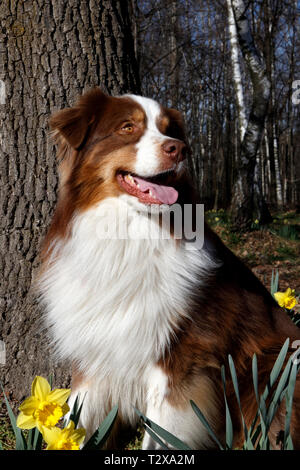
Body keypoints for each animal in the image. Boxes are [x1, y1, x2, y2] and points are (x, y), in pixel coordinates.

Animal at [38, 86, 300, 450]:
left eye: (169, 130)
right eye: (127, 127)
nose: (179, 149)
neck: (128, 235)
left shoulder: (179, 361)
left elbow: (160, 435)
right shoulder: (95, 355)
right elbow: (77, 424)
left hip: (276, 369)